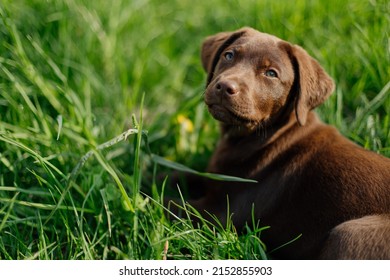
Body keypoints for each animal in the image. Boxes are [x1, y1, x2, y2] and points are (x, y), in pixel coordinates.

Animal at [169, 27, 390, 260]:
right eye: (228, 55)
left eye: (271, 74)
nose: (224, 86)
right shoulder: (214, 177)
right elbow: (176, 175)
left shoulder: (220, 212)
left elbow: (170, 203)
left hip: (349, 234)